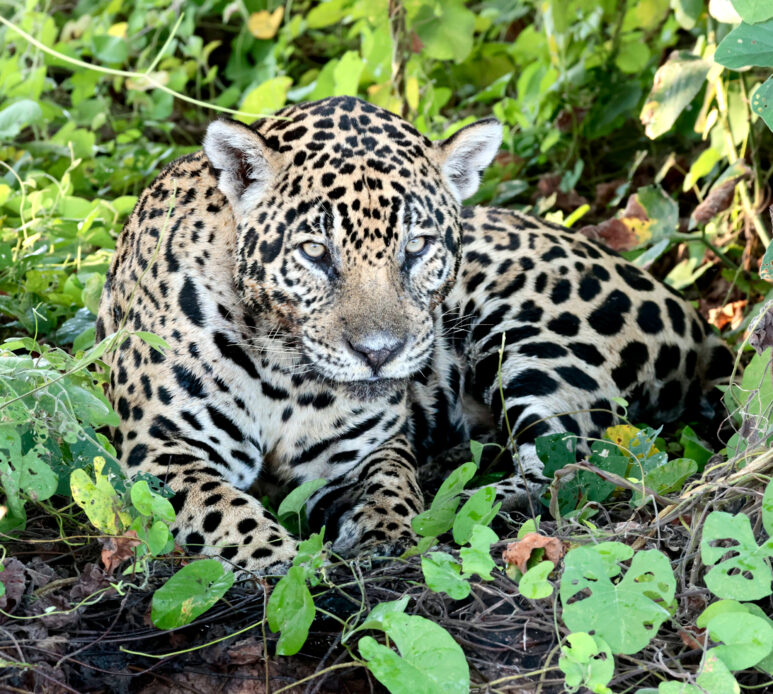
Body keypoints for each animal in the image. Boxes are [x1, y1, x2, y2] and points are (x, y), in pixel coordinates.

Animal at [96, 95, 733, 572]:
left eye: (419, 246)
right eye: (314, 252)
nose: (380, 354)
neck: (284, 368)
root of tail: (697, 320)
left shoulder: (361, 450)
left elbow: (391, 481)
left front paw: (386, 530)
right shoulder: (161, 453)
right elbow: (223, 508)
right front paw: (284, 558)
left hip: (528, 334)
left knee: (569, 471)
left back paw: (456, 502)